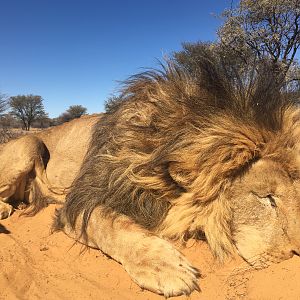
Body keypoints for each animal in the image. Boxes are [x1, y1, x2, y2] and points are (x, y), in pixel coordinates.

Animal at [0, 56, 300, 298]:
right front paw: (165, 267)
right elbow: (108, 226)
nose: (296, 254)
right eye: (267, 198)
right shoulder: (79, 202)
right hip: (31, 143)